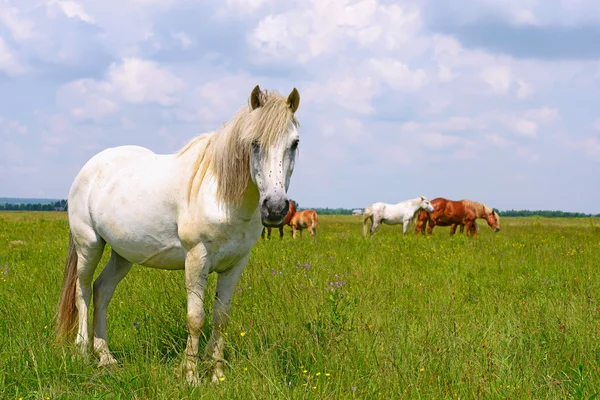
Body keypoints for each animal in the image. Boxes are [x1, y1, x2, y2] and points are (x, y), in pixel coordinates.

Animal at [56, 86, 300, 386]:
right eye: (254, 143)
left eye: (295, 143)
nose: (275, 208)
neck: (221, 195)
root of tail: (88, 168)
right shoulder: (196, 258)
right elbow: (196, 318)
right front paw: (191, 377)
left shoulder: (235, 264)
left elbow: (221, 318)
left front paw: (217, 375)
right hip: (89, 245)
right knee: (83, 291)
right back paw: (81, 352)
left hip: (123, 255)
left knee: (102, 290)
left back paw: (106, 357)